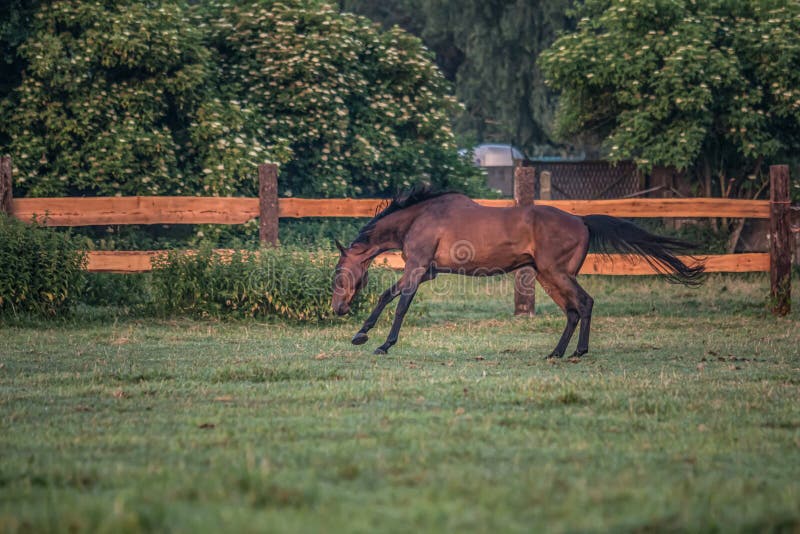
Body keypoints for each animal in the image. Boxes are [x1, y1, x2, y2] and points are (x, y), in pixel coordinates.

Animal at [330, 188, 700, 360]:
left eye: (338, 274)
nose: (338, 309)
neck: (419, 217)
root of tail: (582, 221)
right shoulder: (425, 273)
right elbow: (391, 299)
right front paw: (365, 336)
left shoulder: (416, 268)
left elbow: (396, 303)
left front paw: (375, 342)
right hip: (547, 278)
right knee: (572, 311)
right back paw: (555, 353)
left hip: (556, 274)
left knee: (585, 304)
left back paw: (578, 352)